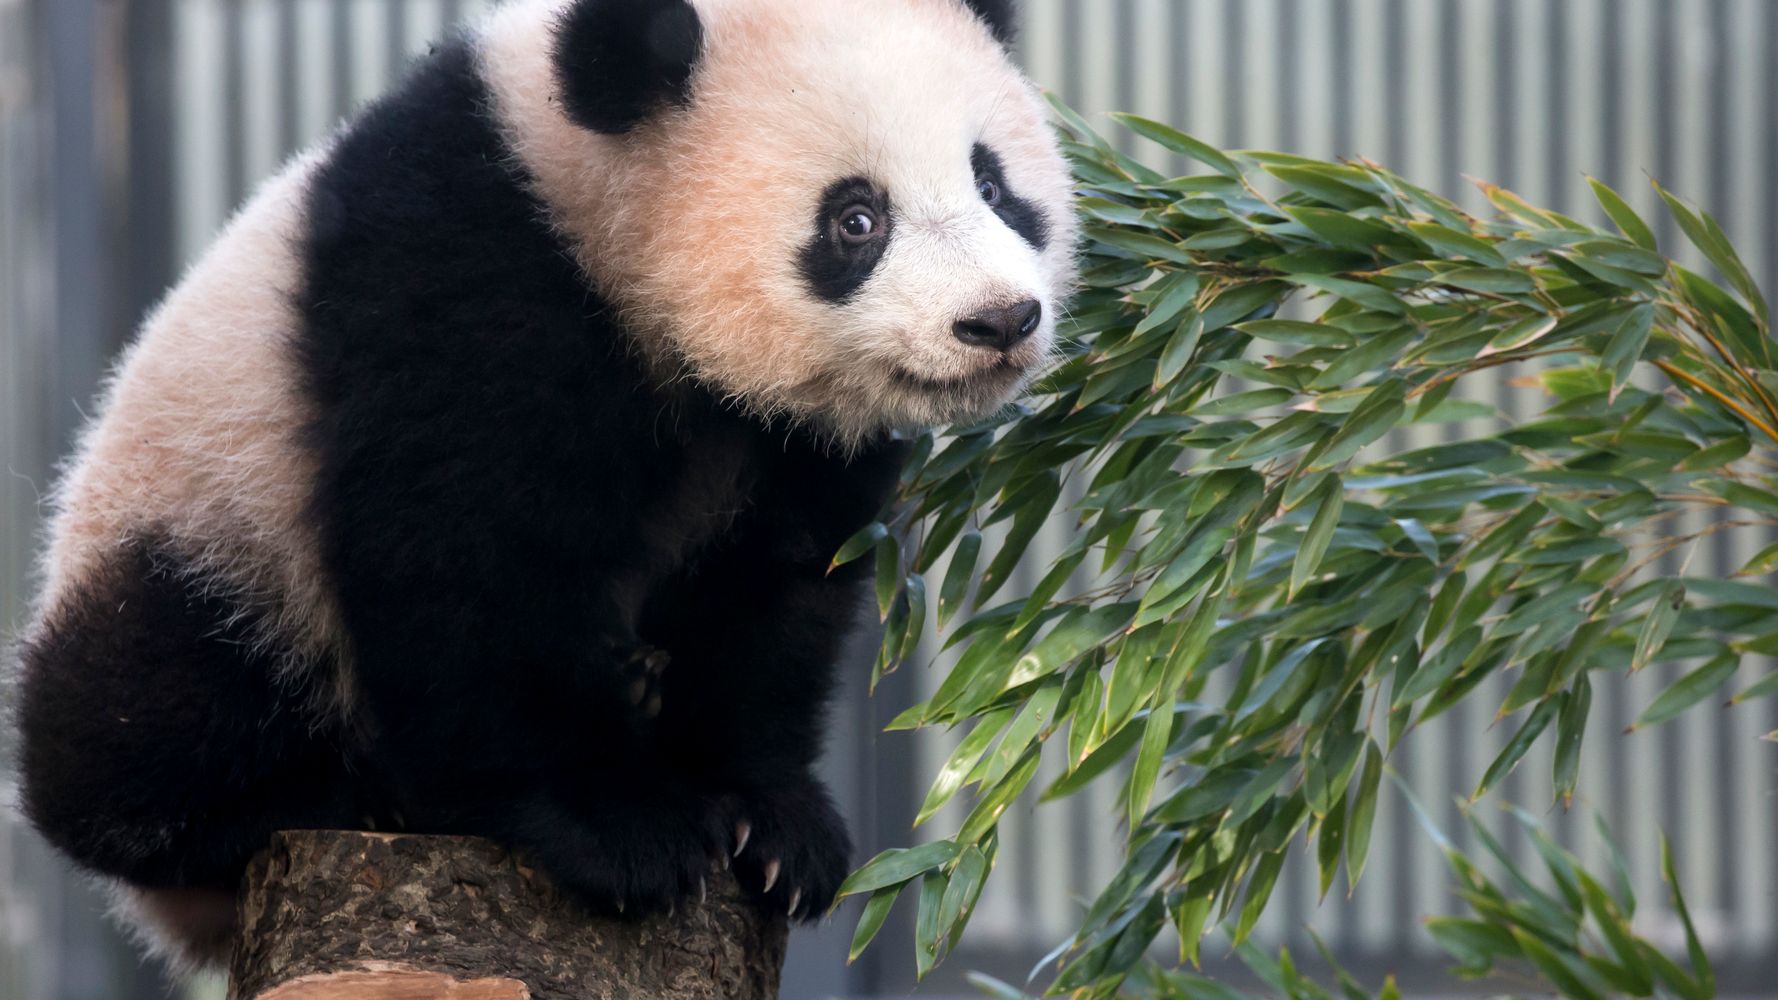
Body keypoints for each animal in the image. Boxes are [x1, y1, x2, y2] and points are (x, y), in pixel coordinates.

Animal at [10, 0, 1066, 967]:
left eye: (993, 184)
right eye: (856, 219)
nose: (999, 320)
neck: (589, 201)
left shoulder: (789, 442)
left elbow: (776, 589)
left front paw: (772, 825)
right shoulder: (465, 271)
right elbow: (469, 555)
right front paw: (624, 830)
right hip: (209, 512)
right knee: (152, 699)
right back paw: (353, 790)